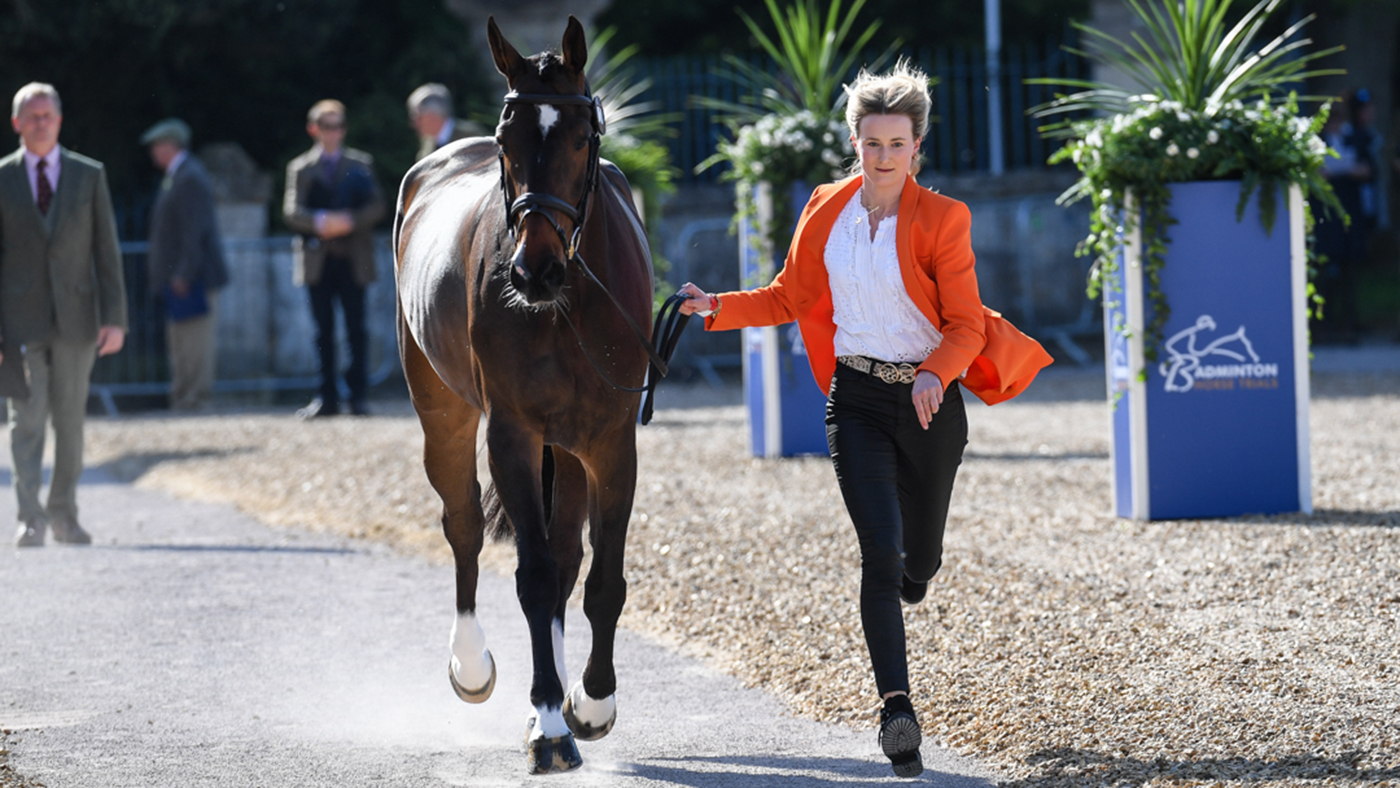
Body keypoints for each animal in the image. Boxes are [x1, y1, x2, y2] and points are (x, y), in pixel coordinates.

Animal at [393, 15, 657, 774]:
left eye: (581, 139)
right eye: (508, 143)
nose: (533, 271)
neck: (566, 304)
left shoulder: (610, 440)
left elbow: (599, 578)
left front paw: (590, 702)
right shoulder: (511, 432)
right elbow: (532, 576)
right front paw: (548, 723)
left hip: (565, 445)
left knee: (566, 555)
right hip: (444, 416)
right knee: (463, 526)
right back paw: (472, 667)